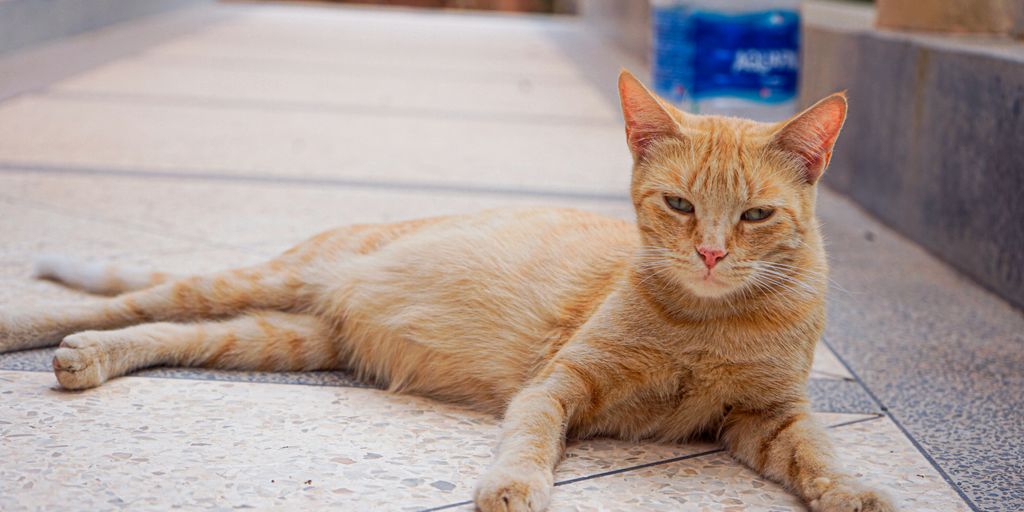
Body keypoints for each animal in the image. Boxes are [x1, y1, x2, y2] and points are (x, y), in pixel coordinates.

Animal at [0, 70, 892, 509]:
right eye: (678, 205)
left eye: (754, 215)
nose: (708, 253)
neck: (709, 322)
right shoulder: (558, 384)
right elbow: (531, 438)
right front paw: (514, 485)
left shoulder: (768, 417)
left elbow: (818, 453)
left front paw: (854, 490)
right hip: (260, 280)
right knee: (130, 303)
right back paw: (38, 329)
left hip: (279, 339)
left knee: (169, 334)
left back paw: (90, 359)